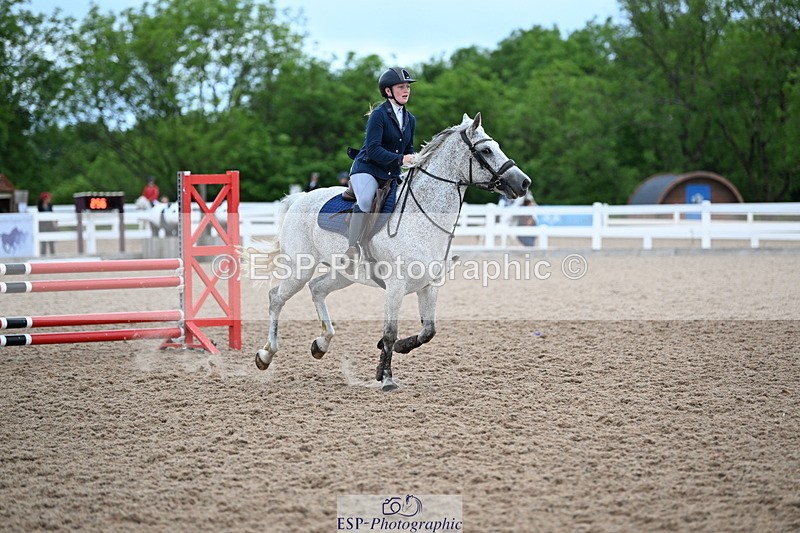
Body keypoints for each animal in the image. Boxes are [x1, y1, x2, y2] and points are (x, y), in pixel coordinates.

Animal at [250, 113, 531, 391]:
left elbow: (428, 331)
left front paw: (398, 350)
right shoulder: (396, 286)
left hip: (343, 274)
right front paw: (386, 378)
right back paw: (266, 355)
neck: (422, 218)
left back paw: (321, 343)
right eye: (486, 150)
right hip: (300, 269)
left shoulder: (430, 285)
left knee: (317, 289)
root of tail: (298, 198)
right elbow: (389, 332)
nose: (524, 183)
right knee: (276, 298)